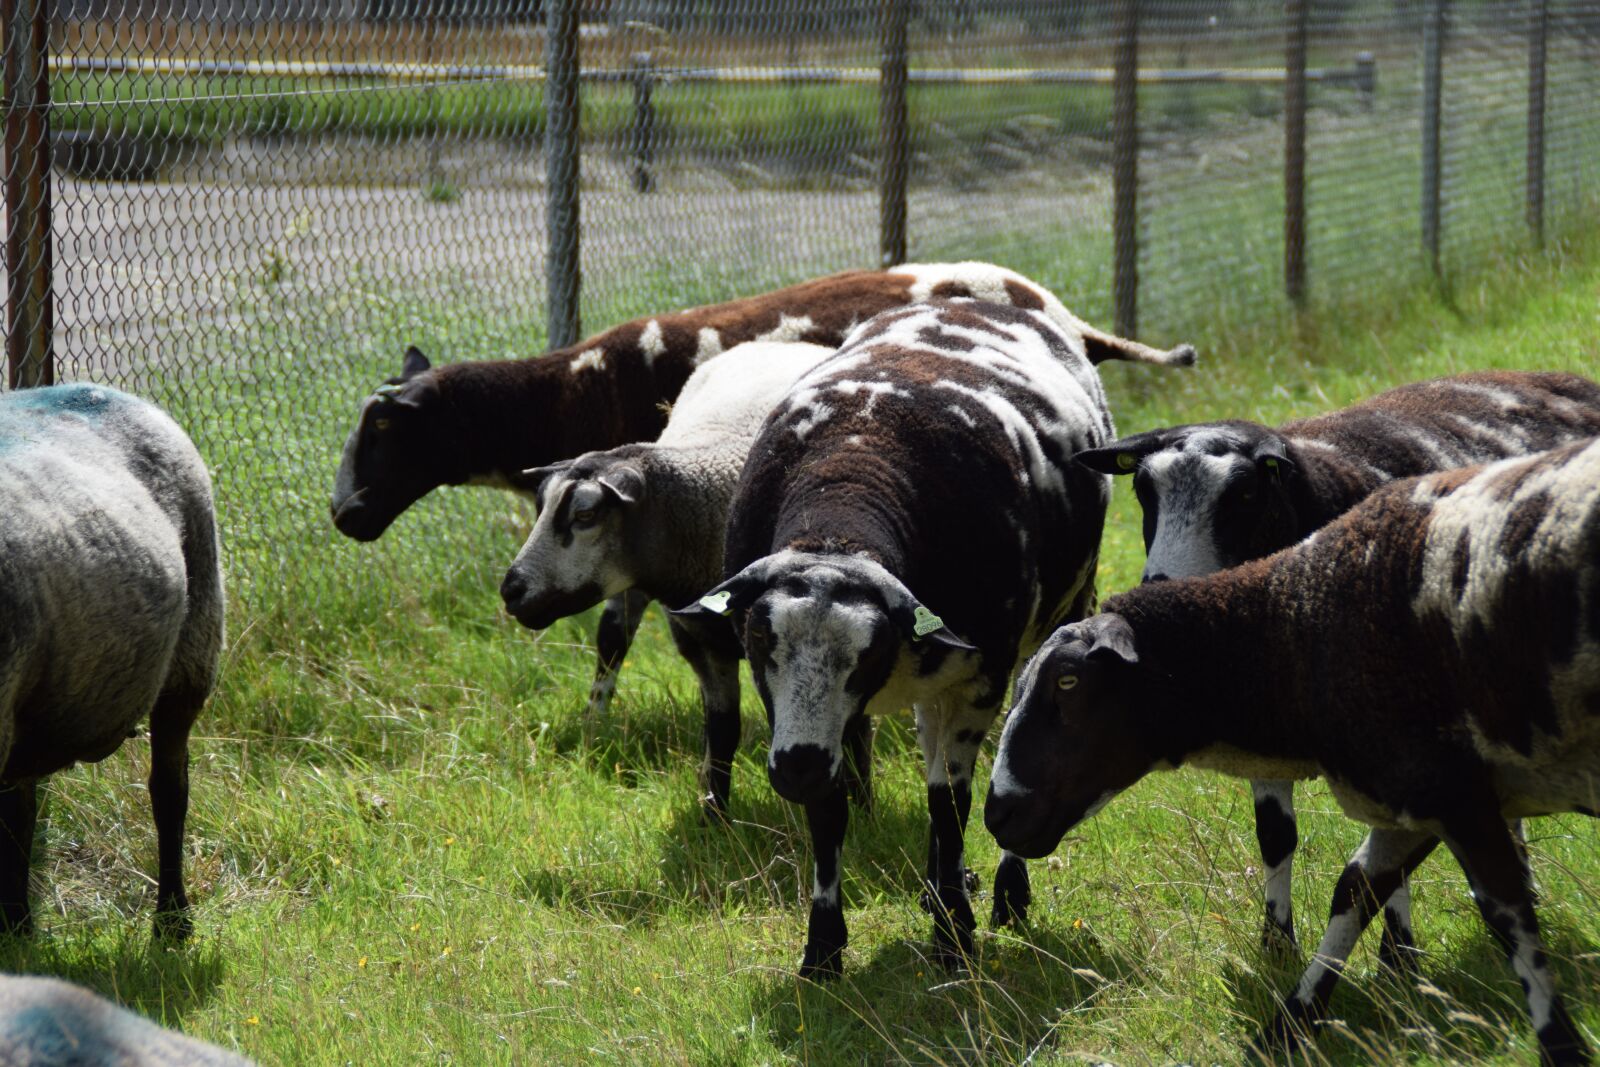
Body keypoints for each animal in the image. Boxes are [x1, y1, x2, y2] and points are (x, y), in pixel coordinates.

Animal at [330, 262, 1194, 736]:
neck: (574, 389)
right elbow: (616, 634)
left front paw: (598, 719)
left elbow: (612, 631)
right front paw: (596, 719)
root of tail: (1063, 313)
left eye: (383, 426)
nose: (344, 515)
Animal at [498, 340, 838, 817]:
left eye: (585, 515)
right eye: (539, 507)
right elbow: (722, 732)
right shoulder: (699, 643)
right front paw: (714, 815)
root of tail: (782, 343)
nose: (511, 590)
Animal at [673, 298, 1195, 977]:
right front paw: (823, 951)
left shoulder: (979, 677)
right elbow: (830, 811)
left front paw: (953, 941)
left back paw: (1001, 894)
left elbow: (951, 803)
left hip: (1057, 615)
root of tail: (974, 300)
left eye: (867, 651)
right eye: (761, 640)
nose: (795, 768)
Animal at [985, 436, 1600, 1066]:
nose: (997, 813)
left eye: (1067, 683)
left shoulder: (1452, 790)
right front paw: (1293, 1022)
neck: (1295, 636)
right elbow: (1354, 890)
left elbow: (1506, 915)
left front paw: (1561, 1044)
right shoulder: (1418, 793)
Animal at [1074, 370, 1600, 960]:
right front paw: (1276, 942)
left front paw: (1398, 956)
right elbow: (1275, 835)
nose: (1160, 587)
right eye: (1144, 491)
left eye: (1245, 494)